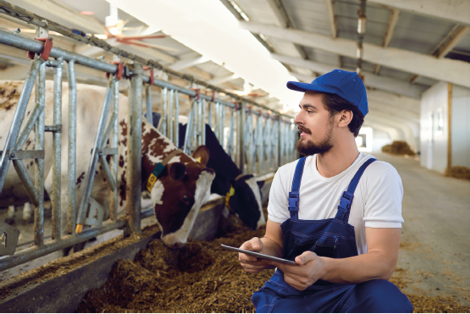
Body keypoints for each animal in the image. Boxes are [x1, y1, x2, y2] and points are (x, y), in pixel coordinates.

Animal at [0, 81, 216, 248]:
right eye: (185, 198)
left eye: (204, 200)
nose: (179, 243)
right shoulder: (64, 192)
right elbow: (66, 246)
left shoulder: (95, 201)